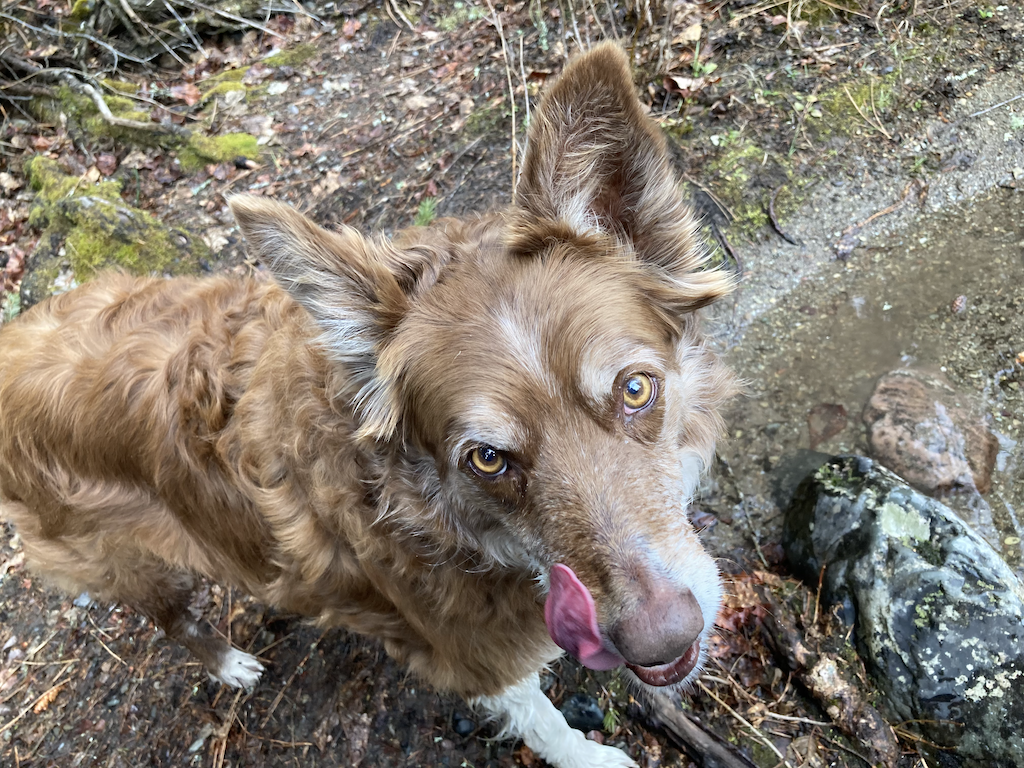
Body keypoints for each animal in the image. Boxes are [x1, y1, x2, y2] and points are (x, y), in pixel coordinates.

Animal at [0, 43, 737, 768]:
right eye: (487, 459)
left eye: (635, 390)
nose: (661, 639)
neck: (437, 523)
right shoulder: (474, 652)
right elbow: (542, 720)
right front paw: (590, 756)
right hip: (125, 558)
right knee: (170, 616)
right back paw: (229, 663)